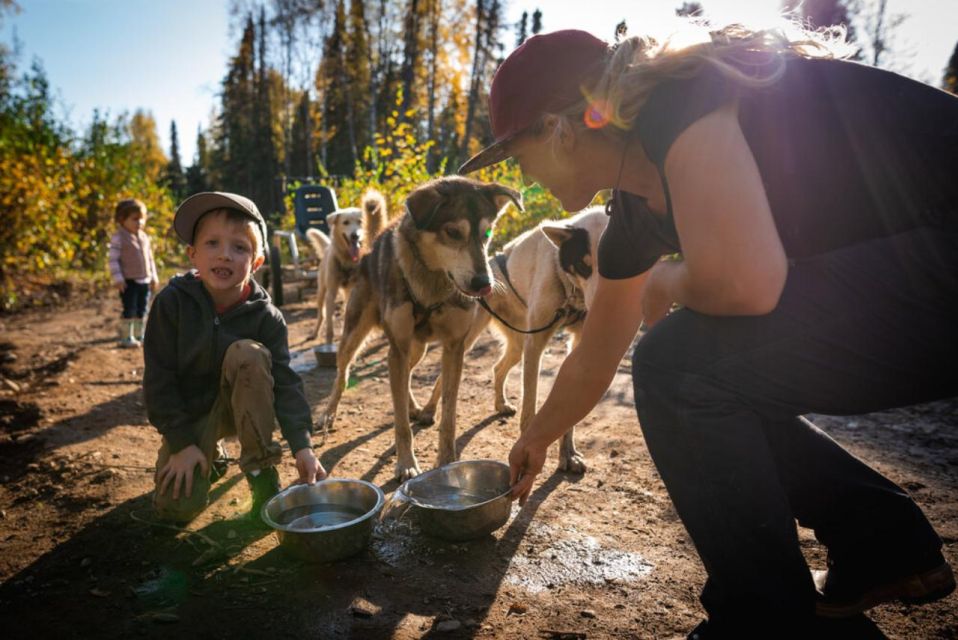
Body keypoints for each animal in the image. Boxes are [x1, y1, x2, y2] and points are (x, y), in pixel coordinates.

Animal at [318, 175, 520, 480]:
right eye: (453, 232)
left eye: (486, 234)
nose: (484, 283)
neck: (431, 285)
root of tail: (369, 249)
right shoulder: (398, 348)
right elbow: (400, 422)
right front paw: (406, 464)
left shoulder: (454, 348)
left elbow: (448, 416)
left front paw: (446, 461)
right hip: (355, 338)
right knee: (343, 374)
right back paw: (329, 414)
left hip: (418, 349)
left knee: (408, 375)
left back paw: (414, 406)